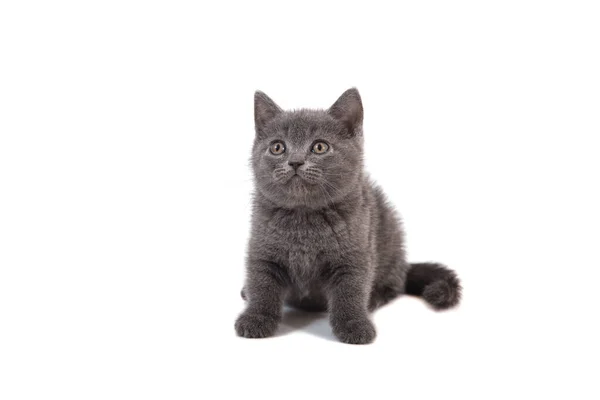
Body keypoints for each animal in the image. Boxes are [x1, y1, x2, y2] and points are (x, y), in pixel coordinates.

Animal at [234, 87, 460, 344]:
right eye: (277, 147)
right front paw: (255, 318)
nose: (295, 162)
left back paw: (374, 298)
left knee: (394, 284)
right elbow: (261, 285)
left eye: (319, 147)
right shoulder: (262, 249)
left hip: (390, 234)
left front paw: (354, 325)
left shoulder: (355, 254)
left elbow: (350, 291)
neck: (304, 218)